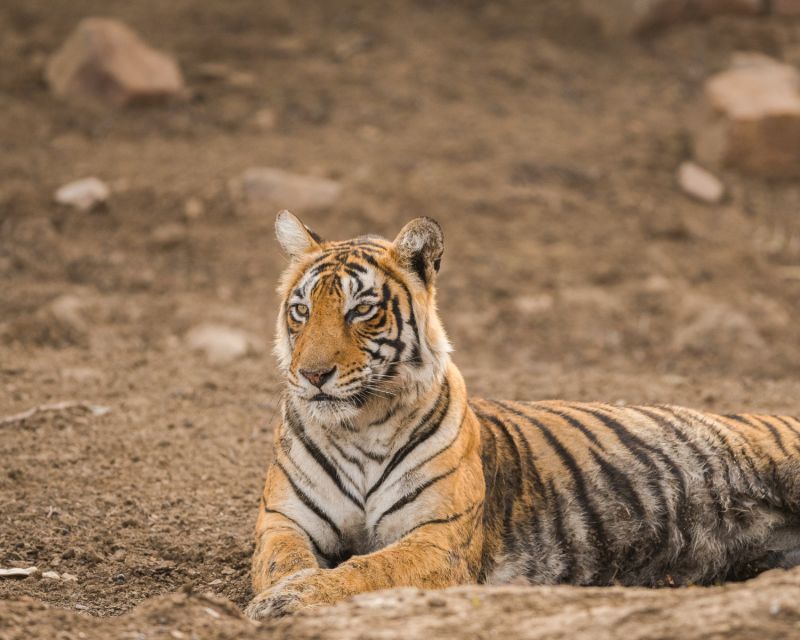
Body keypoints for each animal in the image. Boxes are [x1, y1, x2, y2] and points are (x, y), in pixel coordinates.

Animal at [245, 210, 800, 619]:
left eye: (361, 310)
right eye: (301, 311)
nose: (312, 375)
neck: (358, 426)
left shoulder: (436, 537)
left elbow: (365, 570)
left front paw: (287, 600)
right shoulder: (284, 522)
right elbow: (282, 564)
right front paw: (281, 592)